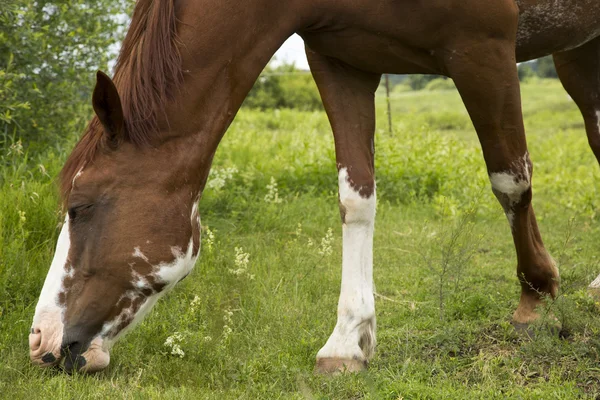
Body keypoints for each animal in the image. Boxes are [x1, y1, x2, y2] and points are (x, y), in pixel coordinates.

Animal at [28, 0, 600, 374]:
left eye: (79, 207)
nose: (41, 342)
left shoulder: (482, 48)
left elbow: (511, 179)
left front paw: (535, 300)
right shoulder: (342, 61)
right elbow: (356, 197)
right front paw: (347, 342)